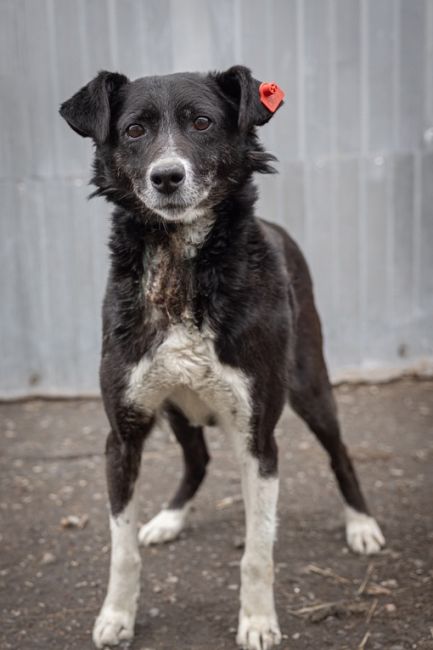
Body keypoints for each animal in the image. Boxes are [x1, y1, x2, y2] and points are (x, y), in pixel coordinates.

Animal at [60, 67, 384, 648]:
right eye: (135, 129)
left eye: (203, 123)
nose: (167, 176)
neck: (181, 268)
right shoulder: (123, 432)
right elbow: (122, 550)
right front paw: (116, 615)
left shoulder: (258, 437)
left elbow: (258, 551)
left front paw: (257, 621)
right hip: (176, 409)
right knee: (198, 460)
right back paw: (169, 518)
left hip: (309, 384)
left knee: (339, 452)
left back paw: (362, 524)